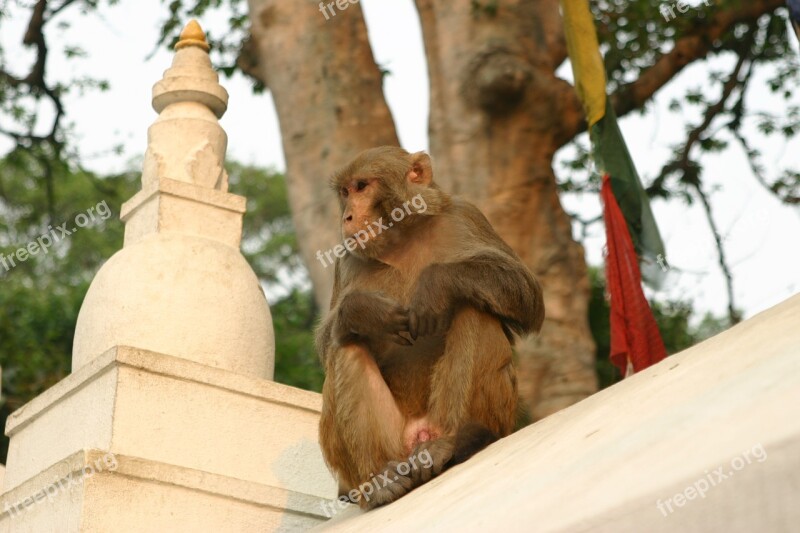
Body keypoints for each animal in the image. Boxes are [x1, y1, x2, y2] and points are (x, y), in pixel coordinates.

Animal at [316, 147, 548, 508]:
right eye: (345, 192)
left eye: (362, 186)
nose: (348, 218)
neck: (403, 239)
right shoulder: (347, 258)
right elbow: (328, 345)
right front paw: (363, 312)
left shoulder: (466, 215)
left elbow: (528, 296)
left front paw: (435, 285)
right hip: (391, 443)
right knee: (347, 347)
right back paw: (379, 481)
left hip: (482, 416)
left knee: (473, 309)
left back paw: (454, 440)